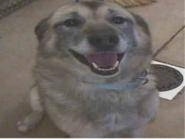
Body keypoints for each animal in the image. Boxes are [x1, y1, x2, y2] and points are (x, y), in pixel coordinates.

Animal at [16, 0, 158, 137]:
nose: (104, 39)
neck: (107, 87)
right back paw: (29, 121)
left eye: (118, 20)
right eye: (71, 22)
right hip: (34, 91)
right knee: (39, 108)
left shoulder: (135, 129)